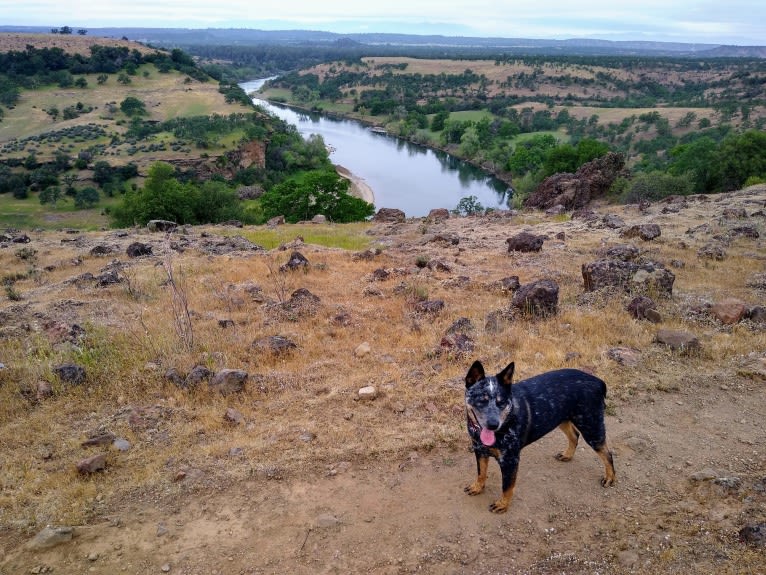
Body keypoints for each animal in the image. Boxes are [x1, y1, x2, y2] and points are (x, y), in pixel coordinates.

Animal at [462, 360, 616, 512]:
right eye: (481, 400)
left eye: (502, 402)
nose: (493, 424)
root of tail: (598, 381)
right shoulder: (479, 451)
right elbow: (481, 473)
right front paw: (477, 487)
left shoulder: (510, 460)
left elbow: (507, 487)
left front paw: (503, 504)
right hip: (561, 418)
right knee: (574, 435)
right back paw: (567, 455)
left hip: (591, 427)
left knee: (607, 454)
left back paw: (610, 477)